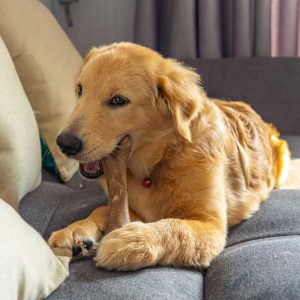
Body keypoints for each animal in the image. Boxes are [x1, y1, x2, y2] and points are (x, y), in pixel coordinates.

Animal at [49, 42, 290, 270]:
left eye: (118, 101)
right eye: (80, 89)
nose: (64, 144)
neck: (161, 158)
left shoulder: (210, 225)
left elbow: (176, 228)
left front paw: (129, 241)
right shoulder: (133, 206)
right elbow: (103, 208)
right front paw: (76, 229)